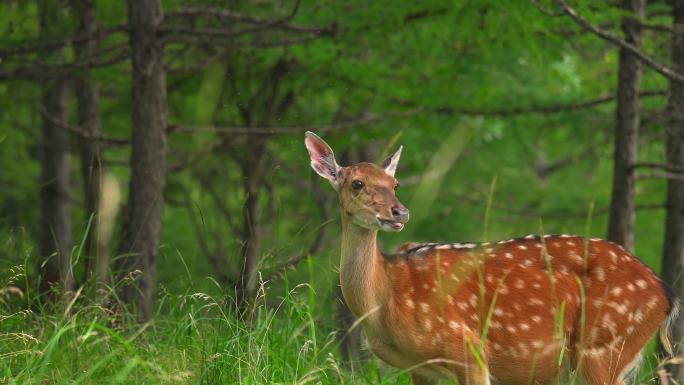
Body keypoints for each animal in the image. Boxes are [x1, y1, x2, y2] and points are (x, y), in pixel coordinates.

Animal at [304, 132, 680, 384]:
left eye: (394, 184)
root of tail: (666, 293)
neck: (385, 299)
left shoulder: (468, 347)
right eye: (357, 183)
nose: (400, 212)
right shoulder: (420, 369)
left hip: (602, 345)